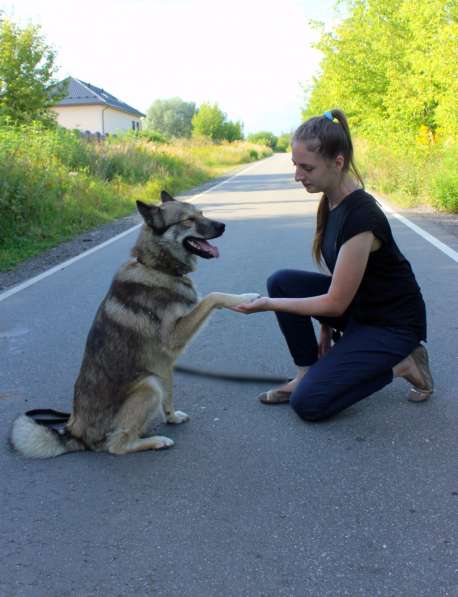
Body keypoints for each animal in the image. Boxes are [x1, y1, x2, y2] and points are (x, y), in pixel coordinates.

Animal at [10, 191, 260, 456]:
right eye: (188, 220)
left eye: (201, 213)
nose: (223, 226)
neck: (158, 267)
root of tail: (76, 434)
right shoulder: (174, 338)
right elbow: (213, 296)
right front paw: (245, 298)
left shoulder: (165, 365)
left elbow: (169, 396)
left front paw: (172, 417)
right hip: (148, 384)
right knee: (116, 445)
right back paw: (156, 441)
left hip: (153, 380)